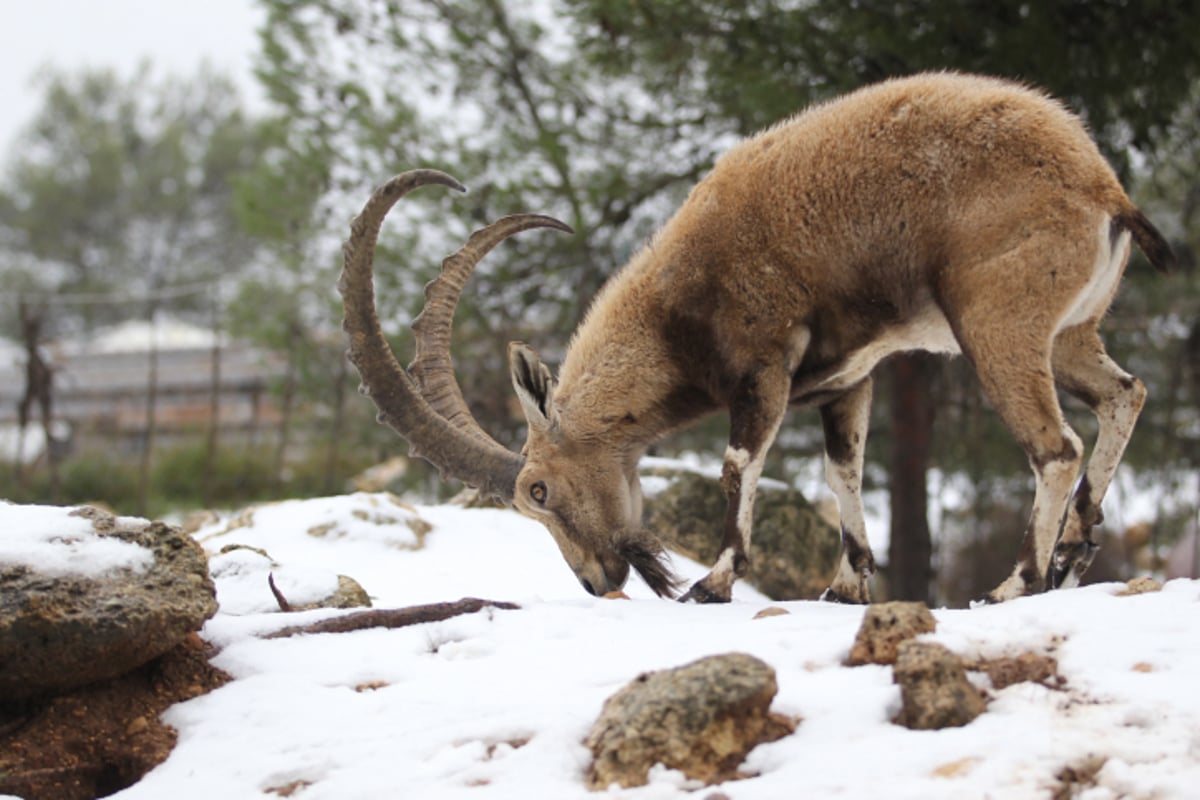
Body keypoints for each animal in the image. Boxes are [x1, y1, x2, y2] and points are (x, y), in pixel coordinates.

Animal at [340, 74, 1171, 604]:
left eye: (537, 491)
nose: (597, 580)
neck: (675, 303)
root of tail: (1103, 188)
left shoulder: (762, 365)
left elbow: (739, 464)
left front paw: (714, 581)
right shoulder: (847, 379)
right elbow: (843, 471)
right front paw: (847, 583)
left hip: (998, 325)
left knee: (1055, 448)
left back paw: (1015, 582)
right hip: (1070, 333)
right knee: (1125, 395)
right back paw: (1072, 553)